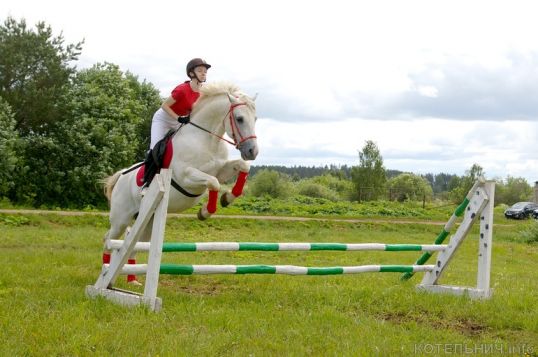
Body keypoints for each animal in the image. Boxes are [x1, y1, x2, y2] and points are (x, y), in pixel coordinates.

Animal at [103, 81, 260, 278]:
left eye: (255, 119)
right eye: (239, 119)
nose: (252, 152)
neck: (207, 140)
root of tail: (121, 175)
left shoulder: (221, 171)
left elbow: (241, 167)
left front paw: (227, 198)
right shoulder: (186, 176)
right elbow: (213, 182)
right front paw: (205, 212)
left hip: (147, 219)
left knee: (135, 244)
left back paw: (132, 280)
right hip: (121, 218)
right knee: (109, 239)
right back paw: (105, 272)